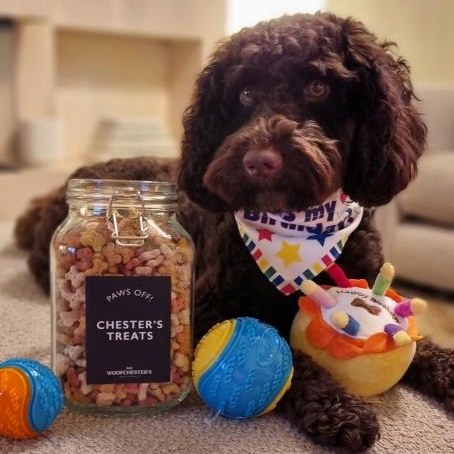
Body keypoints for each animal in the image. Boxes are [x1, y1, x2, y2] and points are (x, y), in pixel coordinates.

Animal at [15, 12, 452, 452]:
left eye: (318, 86)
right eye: (244, 93)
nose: (259, 161)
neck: (298, 224)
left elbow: (418, 340)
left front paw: (445, 368)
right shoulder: (205, 307)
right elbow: (290, 353)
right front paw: (338, 406)